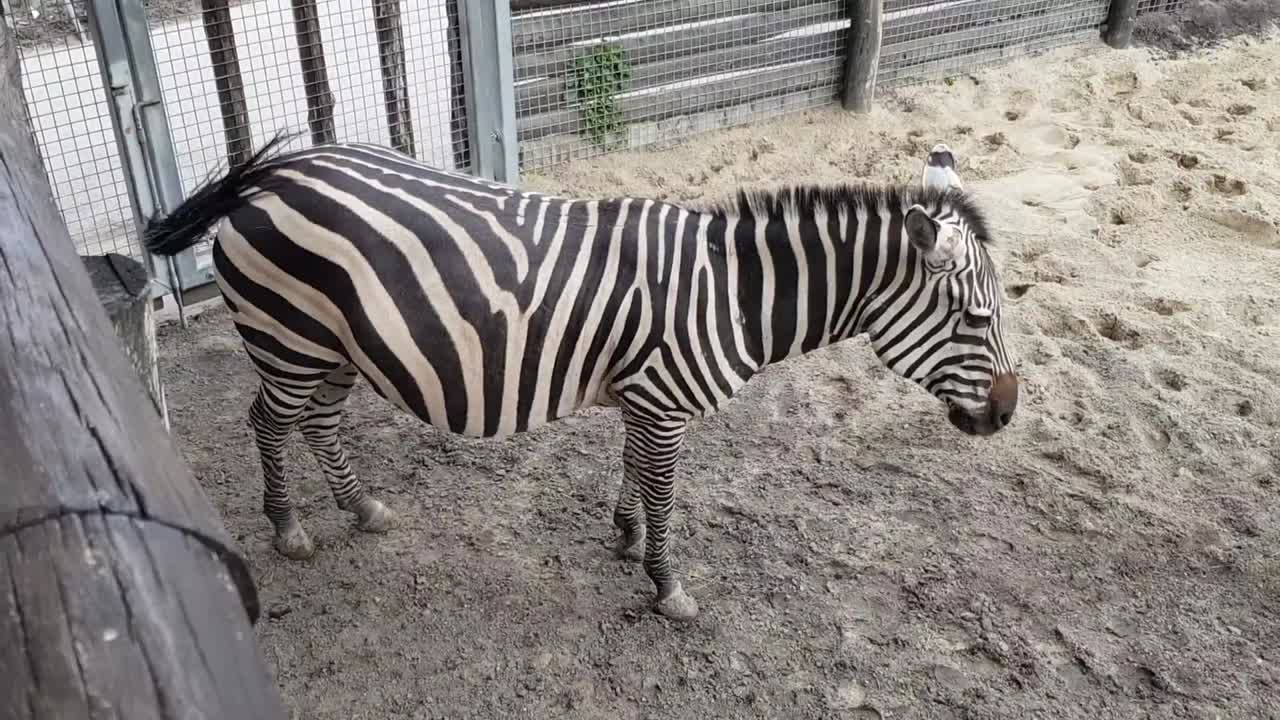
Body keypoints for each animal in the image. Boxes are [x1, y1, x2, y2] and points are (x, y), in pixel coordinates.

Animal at [144, 134, 1018, 621]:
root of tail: (270, 179)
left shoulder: (642, 398)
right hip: (287, 338)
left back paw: (361, 509)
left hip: (335, 350)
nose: (1009, 415)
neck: (729, 295)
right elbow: (665, 493)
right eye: (978, 320)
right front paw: (667, 586)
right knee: (268, 422)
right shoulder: (662, 403)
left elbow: (633, 472)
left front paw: (625, 536)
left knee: (316, 422)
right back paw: (289, 527)